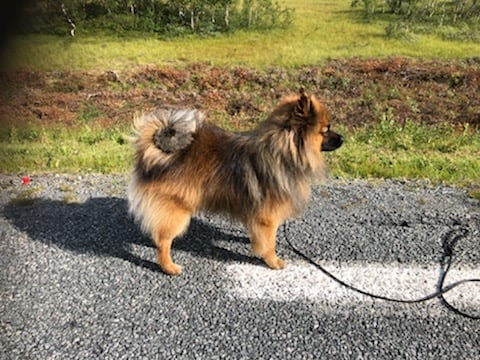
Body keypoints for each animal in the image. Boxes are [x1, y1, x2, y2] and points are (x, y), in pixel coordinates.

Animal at [127, 90, 344, 276]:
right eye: (326, 130)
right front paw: (273, 261)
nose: (343, 138)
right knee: (163, 241)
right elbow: (270, 242)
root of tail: (157, 153)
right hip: (178, 211)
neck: (283, 152)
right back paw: (169, 267)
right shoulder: (268, 216)